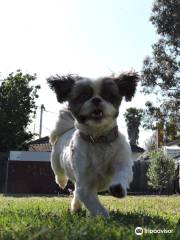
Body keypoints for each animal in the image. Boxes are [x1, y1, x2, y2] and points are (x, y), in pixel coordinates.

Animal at [47, 71, 138, 218]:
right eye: (83, 96)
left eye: (108, 95)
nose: (96, 99)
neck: (99, 139)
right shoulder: (85, 184)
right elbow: (93, 203)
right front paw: (103, 217)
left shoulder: (122, 162)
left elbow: (122, 173)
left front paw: (117, 188)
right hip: (55, 160)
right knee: (59, 173)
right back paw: (62, 183)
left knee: (76, 193)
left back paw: (76, 207)